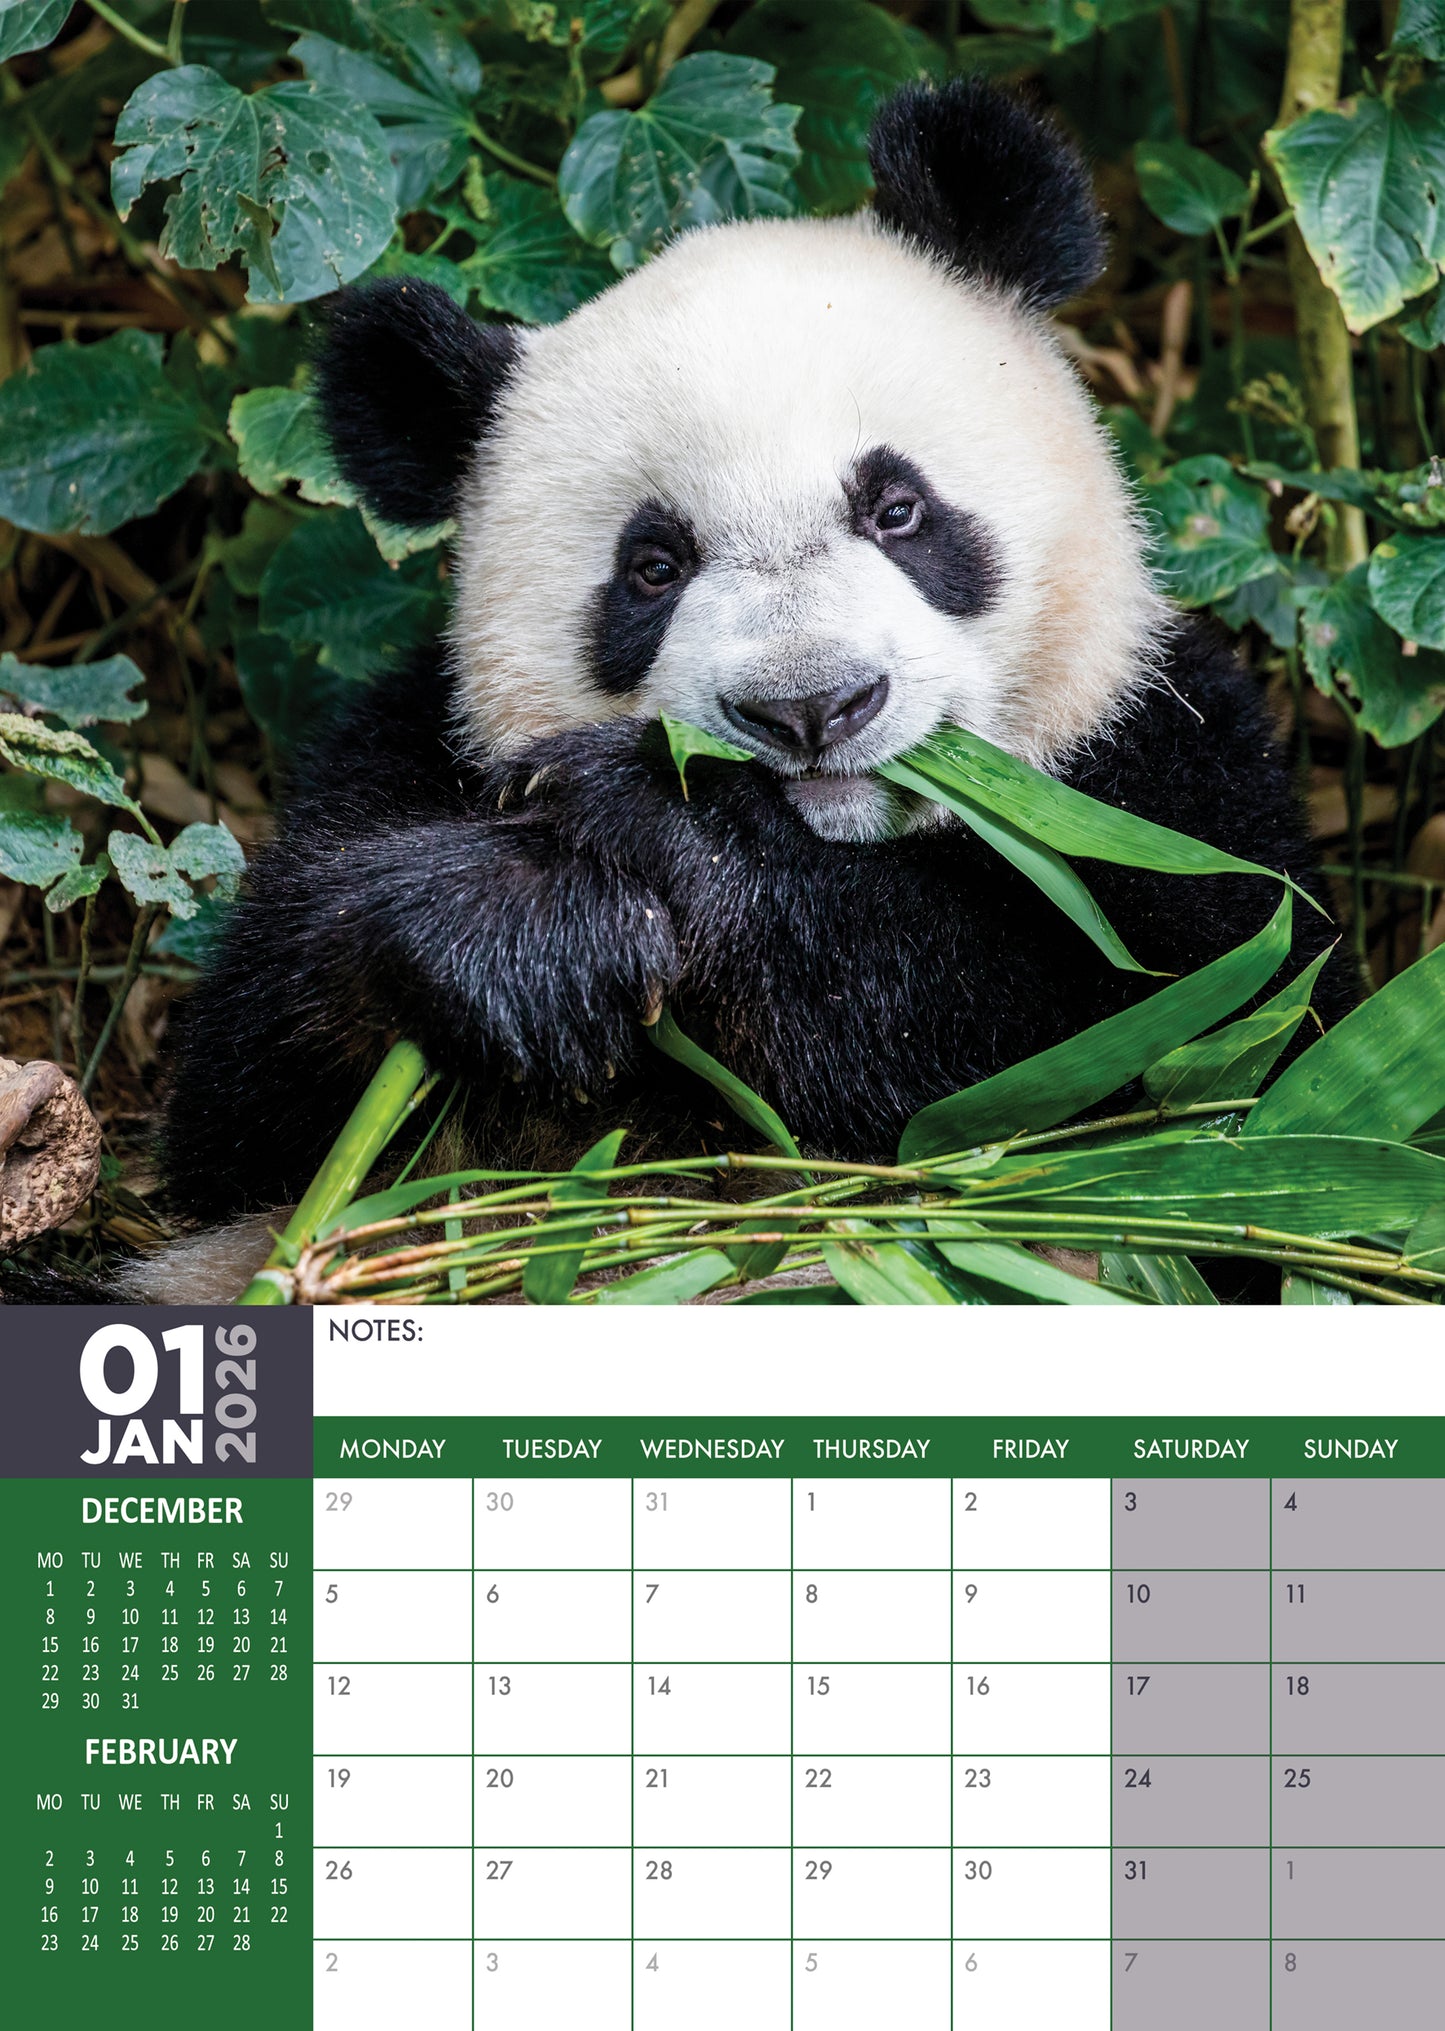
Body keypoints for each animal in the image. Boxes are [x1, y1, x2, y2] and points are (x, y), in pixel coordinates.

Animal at [149, 79, 1351, 1297]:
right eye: (652, 567)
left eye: (896, 508)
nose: (811, 707)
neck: (842, 843)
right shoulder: (404, 750)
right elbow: (238, 1102)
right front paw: (511, 930)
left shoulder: (1161, 763)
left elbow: (1175, 1047)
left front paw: (669, 836)